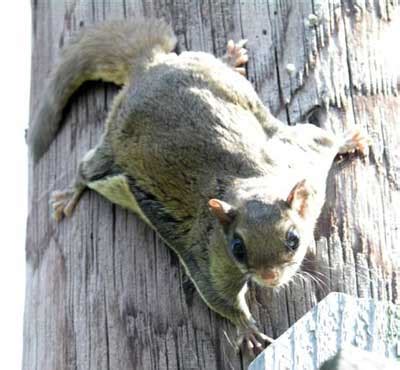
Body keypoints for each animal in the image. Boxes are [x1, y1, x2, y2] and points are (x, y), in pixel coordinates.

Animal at [28, 18, 368, 356]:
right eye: (237, 247)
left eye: (293, 239)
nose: (269, 276)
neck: (251, 181)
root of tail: (149, 66)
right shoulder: (208, 254)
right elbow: (218, 295)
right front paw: (247, 329)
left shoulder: (305, 158)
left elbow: (322, 138)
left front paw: (348, 139)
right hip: (110, 153)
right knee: (85, 169)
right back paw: (69, 194)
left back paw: (231, 58)